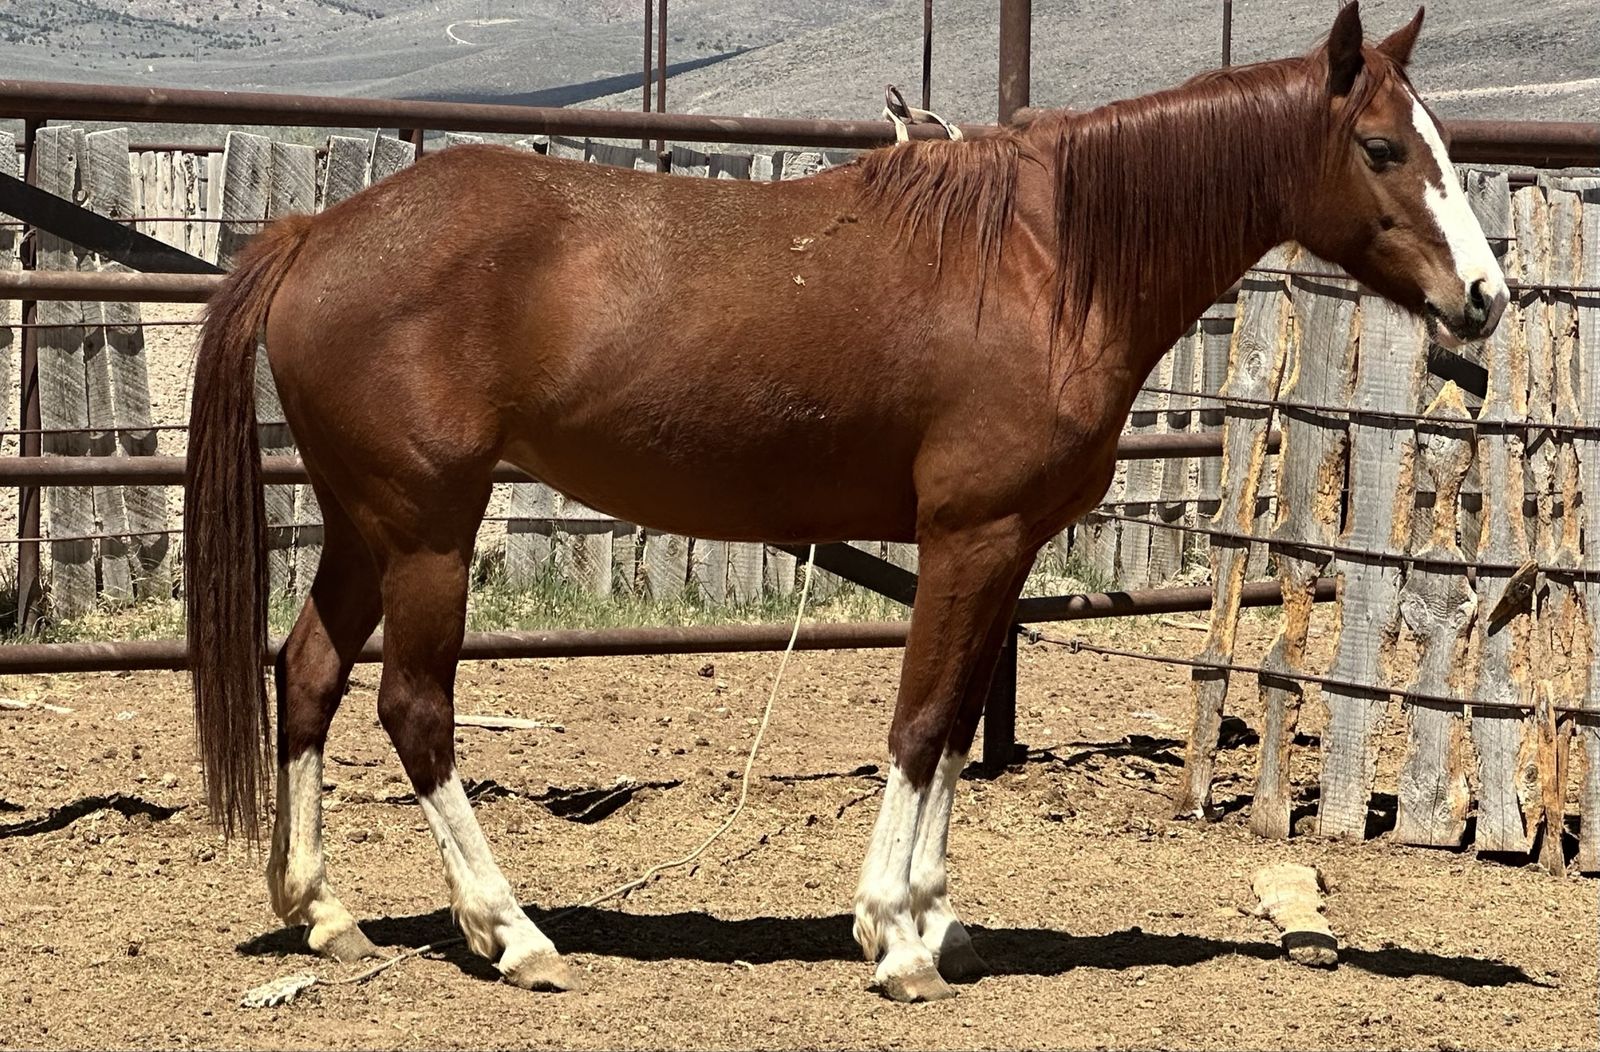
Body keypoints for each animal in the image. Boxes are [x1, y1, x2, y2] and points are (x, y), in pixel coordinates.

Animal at [185, 2, 1505, 1002]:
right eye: (1382, 149)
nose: (1486, 297)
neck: (1048, 263)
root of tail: (316, 230)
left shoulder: (1005, 548)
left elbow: (959, 723)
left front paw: (930, 915)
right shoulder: (967, 535)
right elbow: (919, 724)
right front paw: (891, 936)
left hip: (366, 524)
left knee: (308, 672)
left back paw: (322, 909)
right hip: (428, 531)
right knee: (414, 709)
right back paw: (510, 933)